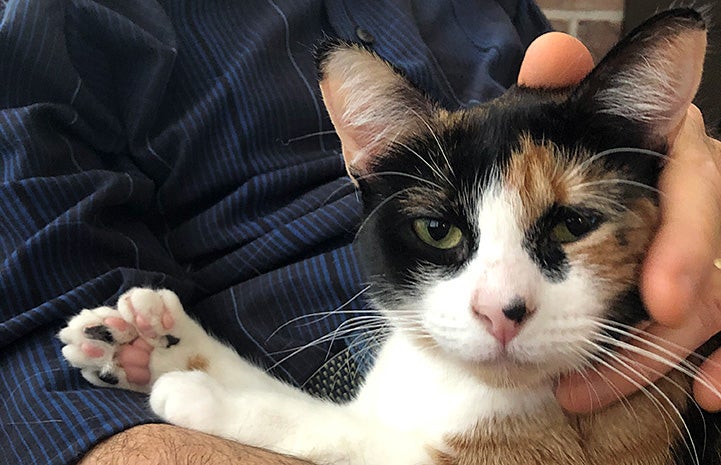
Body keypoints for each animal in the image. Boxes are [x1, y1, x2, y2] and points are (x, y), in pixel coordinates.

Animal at [60, 7, 716, 464]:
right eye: (438, 230)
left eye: (573, 223)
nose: (501, 311)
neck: (452, 381)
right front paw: (146, 340)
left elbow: (344, 433)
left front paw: (205, 396)